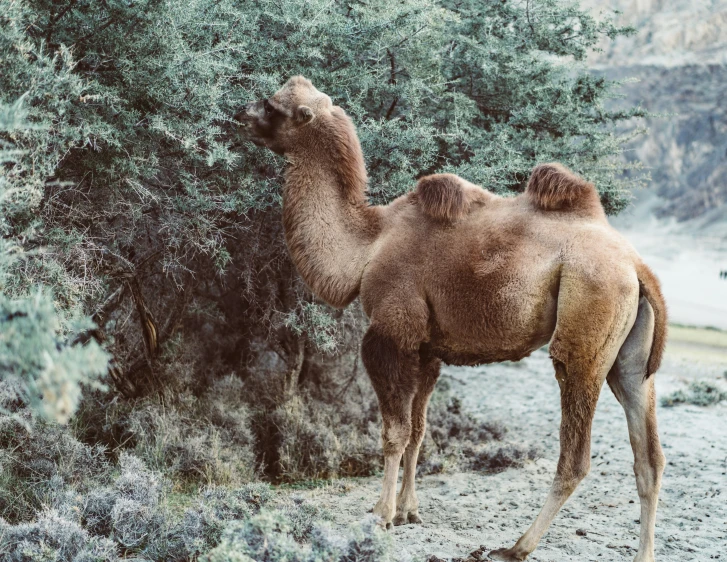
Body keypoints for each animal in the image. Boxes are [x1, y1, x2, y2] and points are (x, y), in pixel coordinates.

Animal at [237, 75, 664, 560]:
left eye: (273, 106)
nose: (240, 115)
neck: (366, 247)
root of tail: (635, 264)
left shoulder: (390, 333)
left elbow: (394, 431)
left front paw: (381, 515)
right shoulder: (427, 347)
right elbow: (419, 430)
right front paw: (409, 511)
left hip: (586, 322)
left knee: (575, 453)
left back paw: (515, 546)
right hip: (630, 357)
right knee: (648, 455)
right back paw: (642, 552)